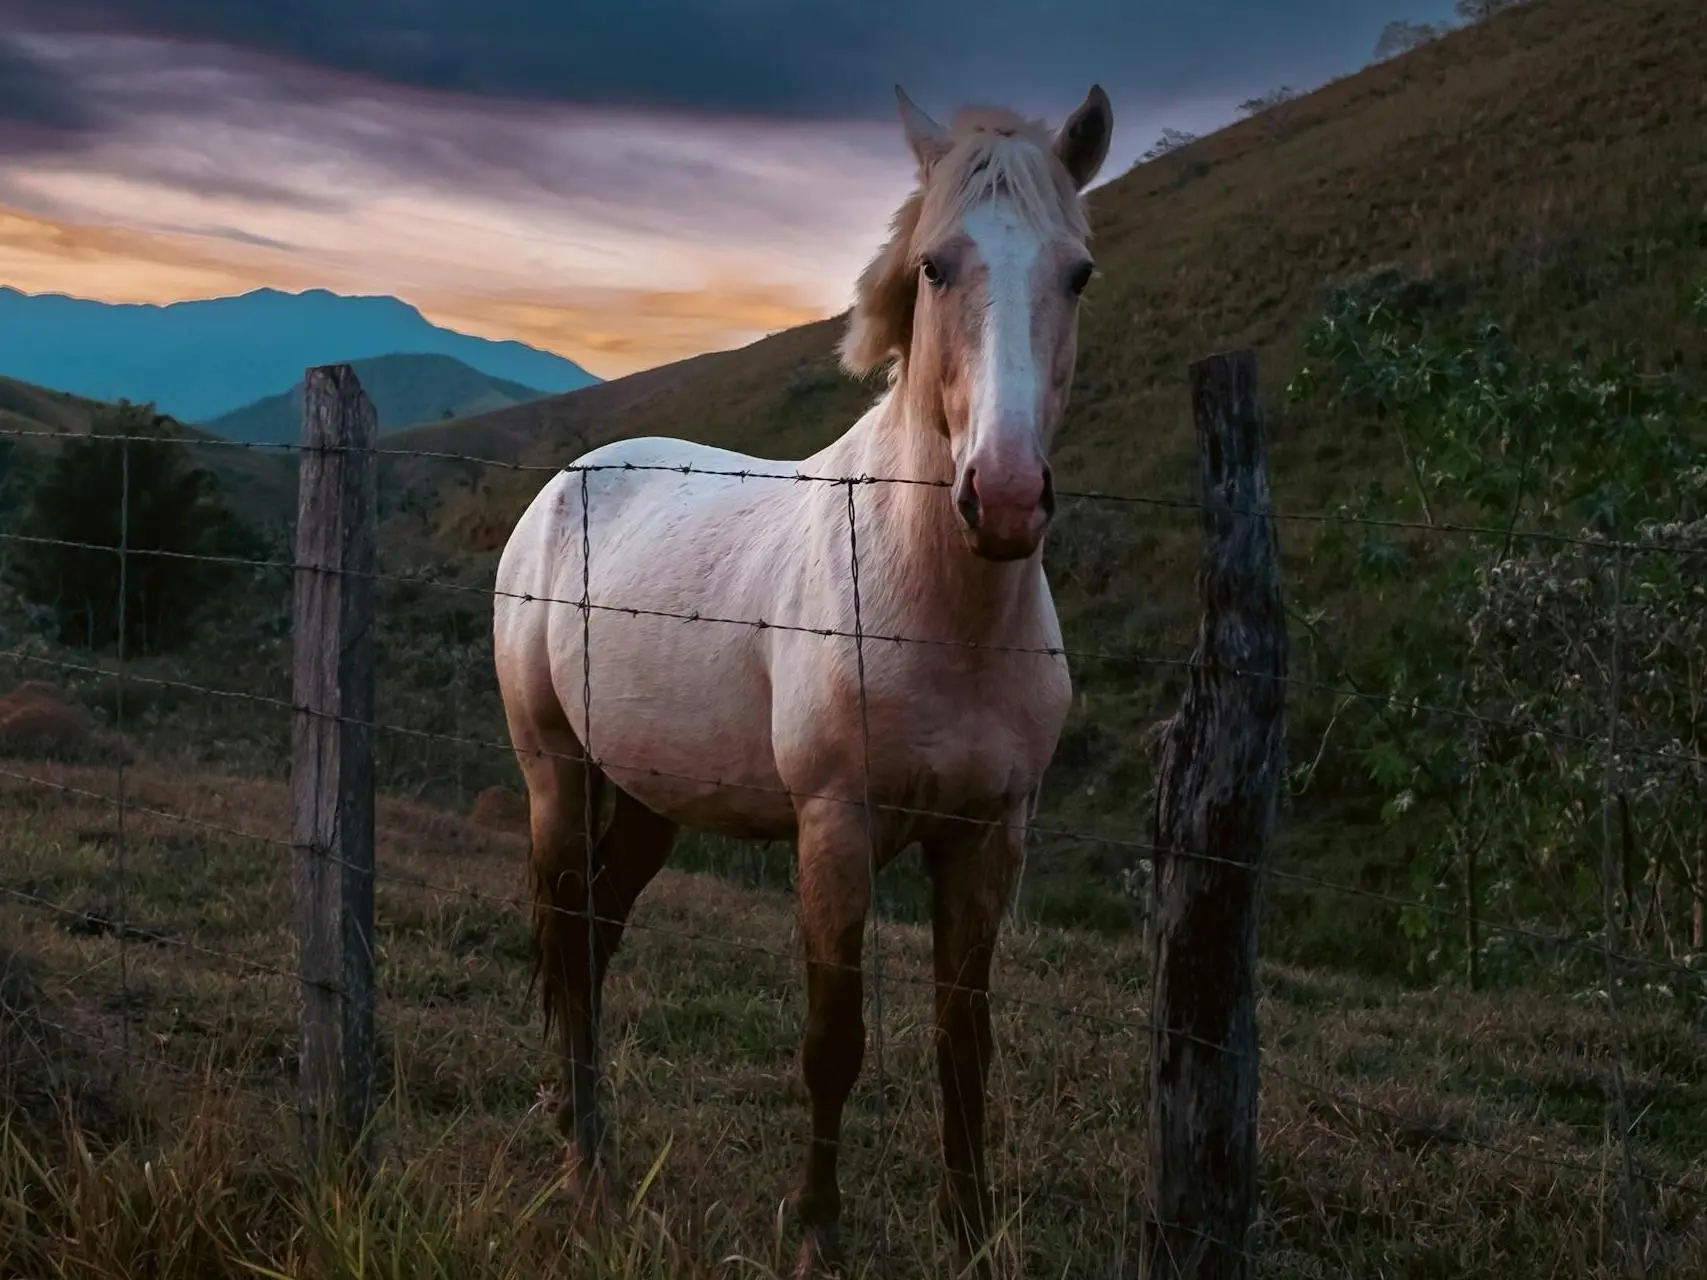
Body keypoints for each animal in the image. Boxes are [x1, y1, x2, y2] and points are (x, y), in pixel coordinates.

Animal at [488, 85, 1112, 1276]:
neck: (942, 612)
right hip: (554, 771)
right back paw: (587, 1170)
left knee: (595, 936)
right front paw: (816, 1227)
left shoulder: (990, 838)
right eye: (934, 266)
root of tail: (565, 483)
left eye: (1079, 272)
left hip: (649, 797)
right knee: (570, 939)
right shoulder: (834, 828)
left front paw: (969, 1233)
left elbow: (964, 1044)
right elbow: (835, 1039)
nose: (1006, 498)